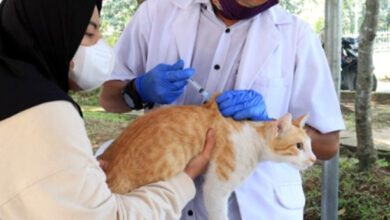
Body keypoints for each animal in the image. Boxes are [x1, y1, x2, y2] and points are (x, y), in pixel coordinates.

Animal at [99, 94, 316, 220]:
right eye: (299, 146)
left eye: (311, 145)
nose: (314, 159)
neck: (254, 137)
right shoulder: (217, 186)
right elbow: (219, 213)